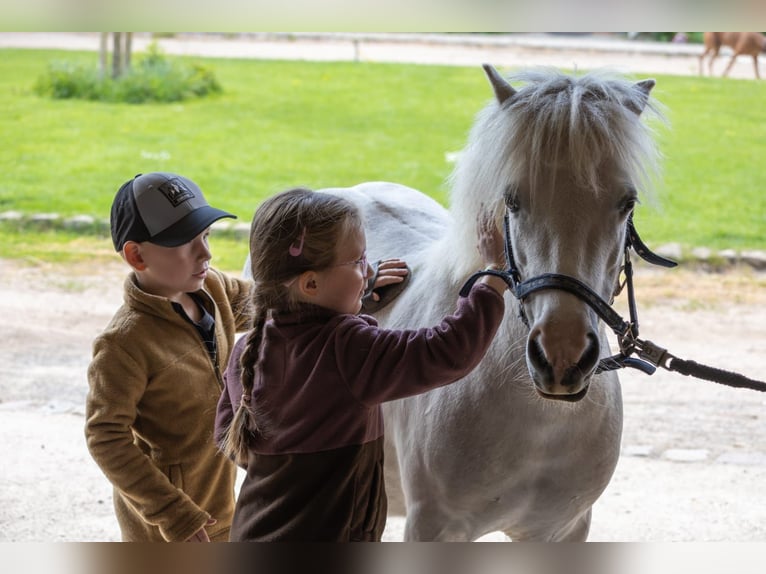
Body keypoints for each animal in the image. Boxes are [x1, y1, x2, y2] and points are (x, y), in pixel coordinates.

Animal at [243, 65, 664, 540]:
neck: (539, 424)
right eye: (512, 201)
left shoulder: (562, 531)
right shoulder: (435, 528)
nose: (561, 356)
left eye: (626, 202)